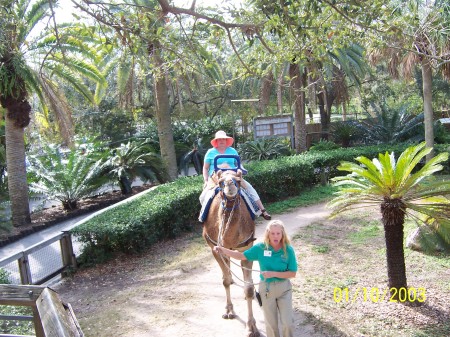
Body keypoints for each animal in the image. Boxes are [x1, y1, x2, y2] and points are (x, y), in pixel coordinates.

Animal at [201, 169, 260, 336]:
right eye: (221, 182)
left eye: (238, 181)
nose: (229, 184)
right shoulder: (216, 249)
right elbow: (225, 281)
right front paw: (228, 311)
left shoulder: (246, 248)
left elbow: (248, 288)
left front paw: (251, 327)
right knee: (226, 273)